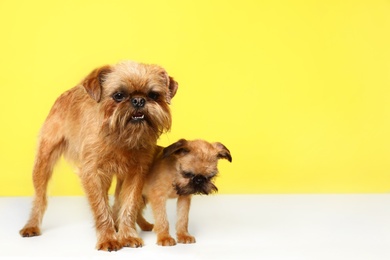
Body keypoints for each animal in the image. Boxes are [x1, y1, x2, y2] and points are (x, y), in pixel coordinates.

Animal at [19, 60, 178, 251]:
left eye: (153, 95)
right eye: (118, 95)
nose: (139, 100)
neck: (120, 136)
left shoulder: (136, 173)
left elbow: (129, 204)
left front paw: (128, 235)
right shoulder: (92, 173)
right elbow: (100, 206)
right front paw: (108, 238)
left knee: (118, 201)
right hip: (44, 160)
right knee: (40, 197)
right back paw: (32, 225)